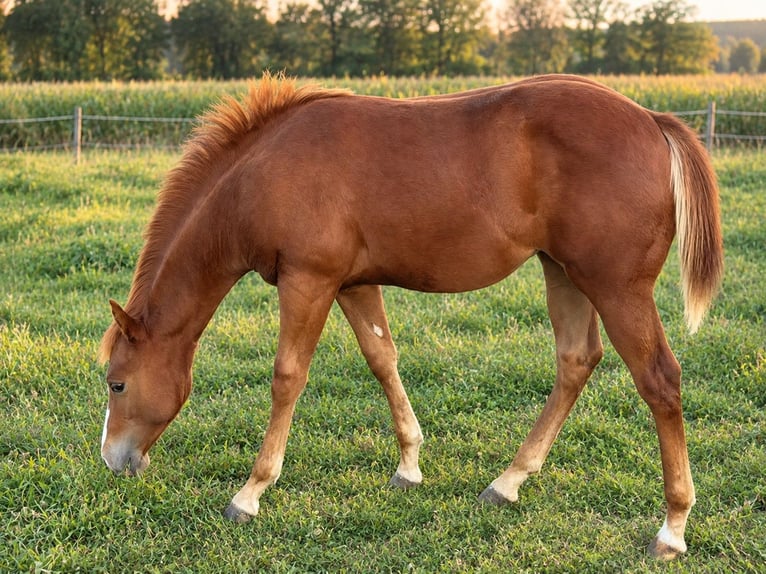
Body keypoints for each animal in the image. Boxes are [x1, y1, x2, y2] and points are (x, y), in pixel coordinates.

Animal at [98, 74, 722, 560]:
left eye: (116, 383)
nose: (114, 460)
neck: (262, 172)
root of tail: (651, 120)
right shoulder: (352, 284)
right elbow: (383, 359)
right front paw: (410, 465)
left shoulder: (308, 282)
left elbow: (287, 377)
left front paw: (251, 492)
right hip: (563, 272)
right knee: (576, 361)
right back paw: (508, 482)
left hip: (616, 289)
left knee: (660, 379)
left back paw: (672, 527)